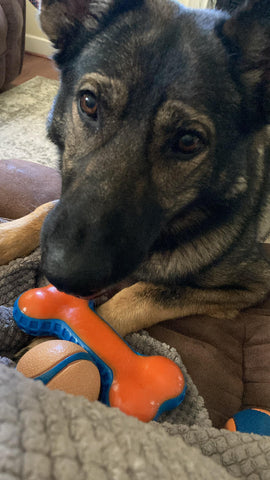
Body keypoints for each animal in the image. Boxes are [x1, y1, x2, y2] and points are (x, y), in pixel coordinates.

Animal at [38, 0, 270, 338]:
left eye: (187, 141)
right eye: (89, 102)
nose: (66, 277)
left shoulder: (250, 285)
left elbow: (141, 294)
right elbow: (40, 212)